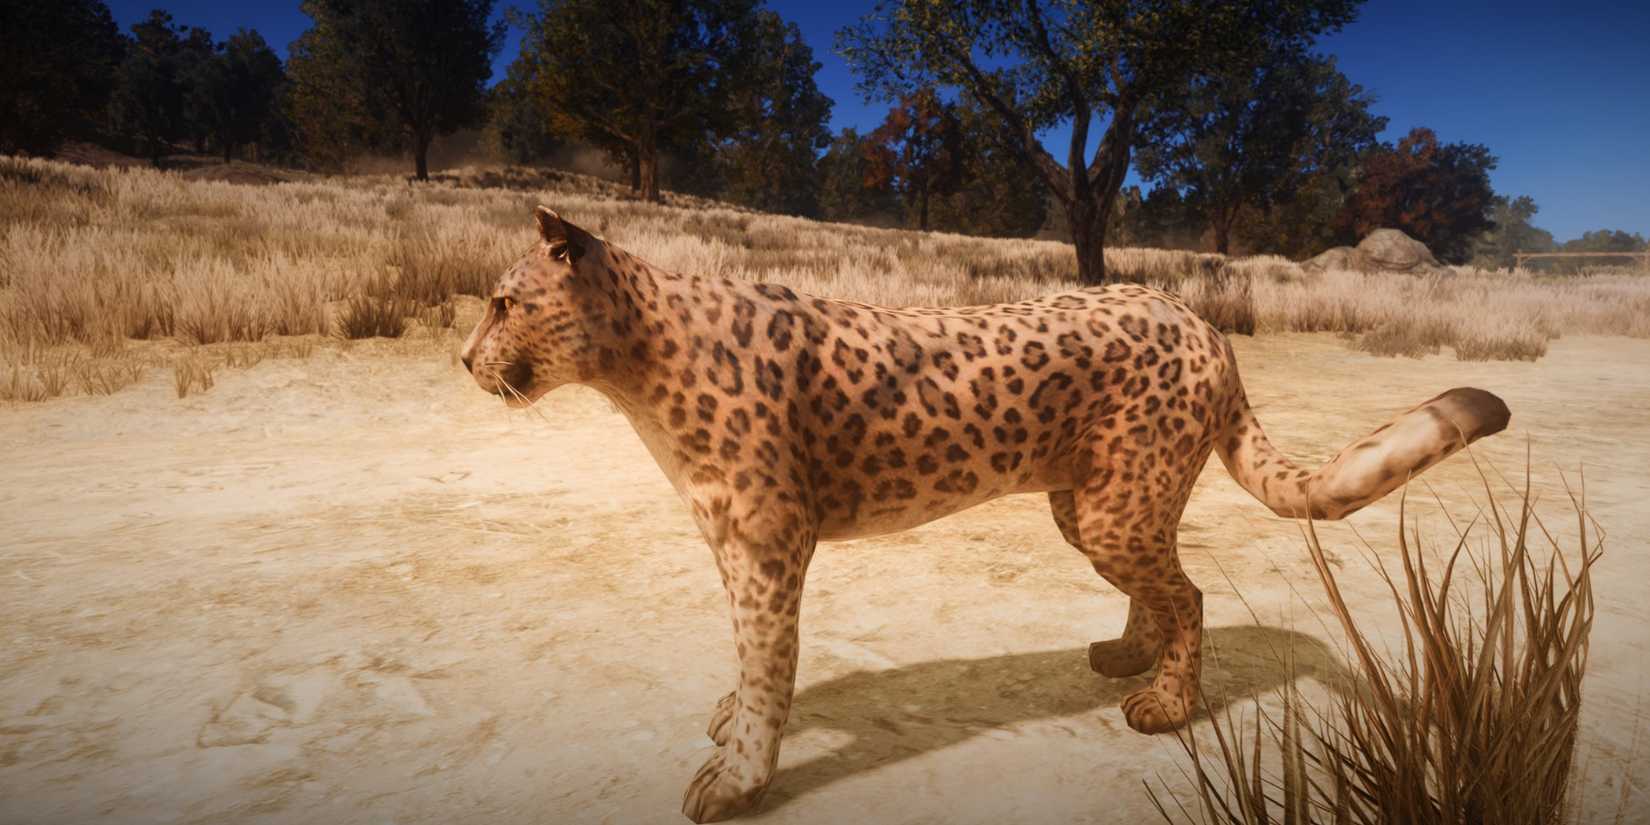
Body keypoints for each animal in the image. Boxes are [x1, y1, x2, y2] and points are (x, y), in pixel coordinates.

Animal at [458, 207, 1510, 822]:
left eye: (506, 303)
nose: (465, 361)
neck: (632, 362)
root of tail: (1201, 321)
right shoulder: (731, 543)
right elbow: (747, 663)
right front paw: (727, 722)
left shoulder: (769, 546)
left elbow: (768, 667)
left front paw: (739, 778)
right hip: (1092, 505)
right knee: (1166, 583)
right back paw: (1129, 652)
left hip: (1114, 508)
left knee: (1193, 592)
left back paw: (1167, 702)